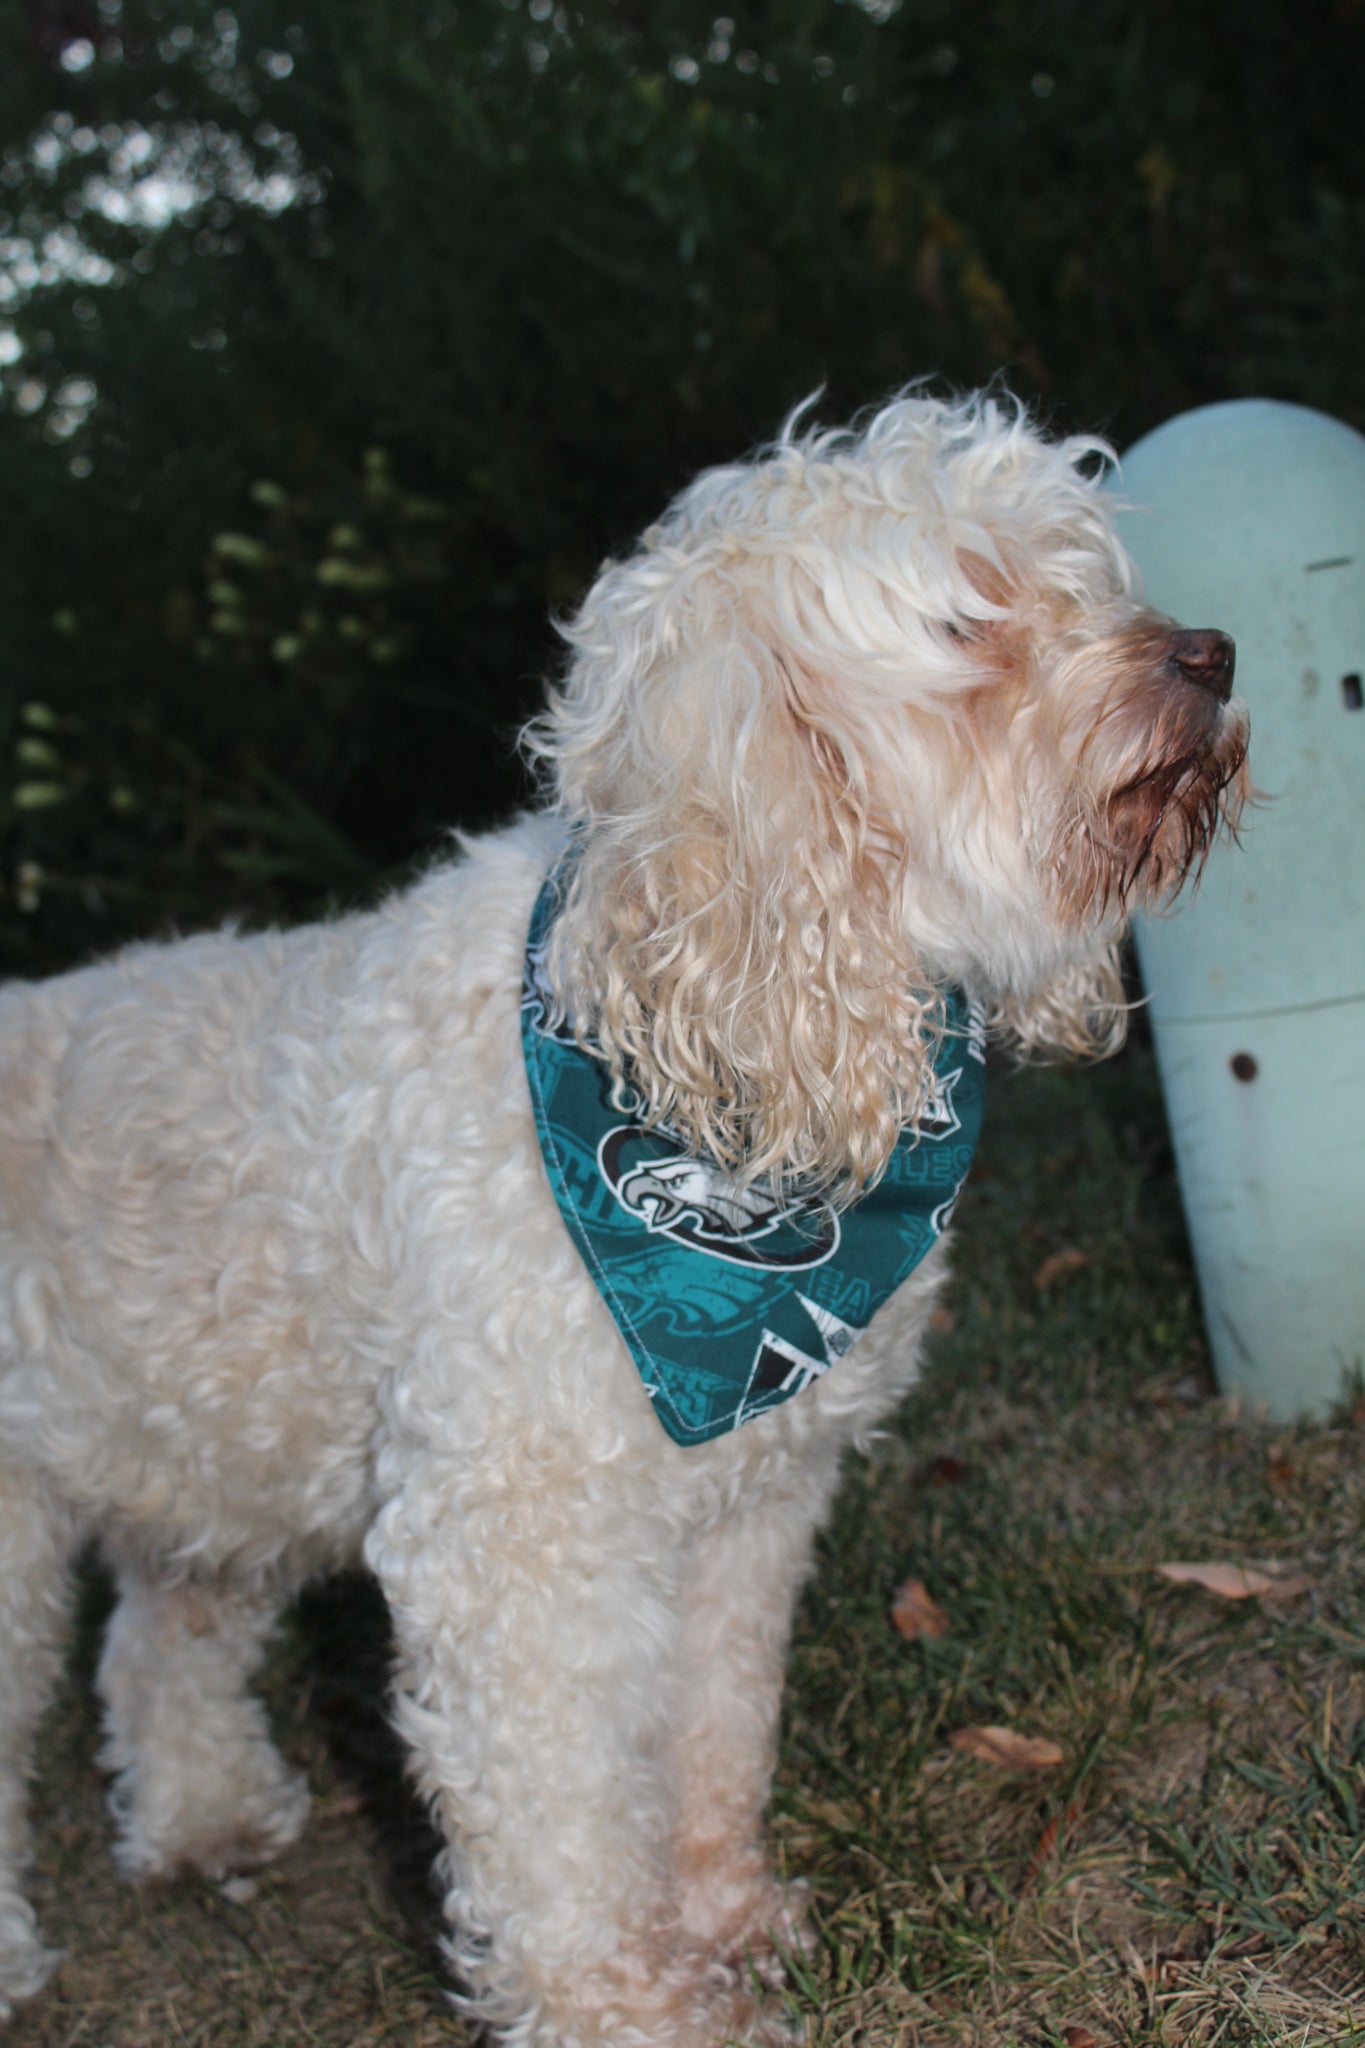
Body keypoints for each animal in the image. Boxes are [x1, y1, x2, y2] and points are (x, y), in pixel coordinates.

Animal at [0, 391, 1252, 2039]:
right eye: (970, 617)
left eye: (1082, 577)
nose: (1215, 655)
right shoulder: (518, 1545)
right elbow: (563, 1824)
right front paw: (627, 2005)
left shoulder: (743, 1518)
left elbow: (707, 1745)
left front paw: (722, 1920)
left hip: (206, 1470)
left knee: (158, 1646)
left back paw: (204, 1820)